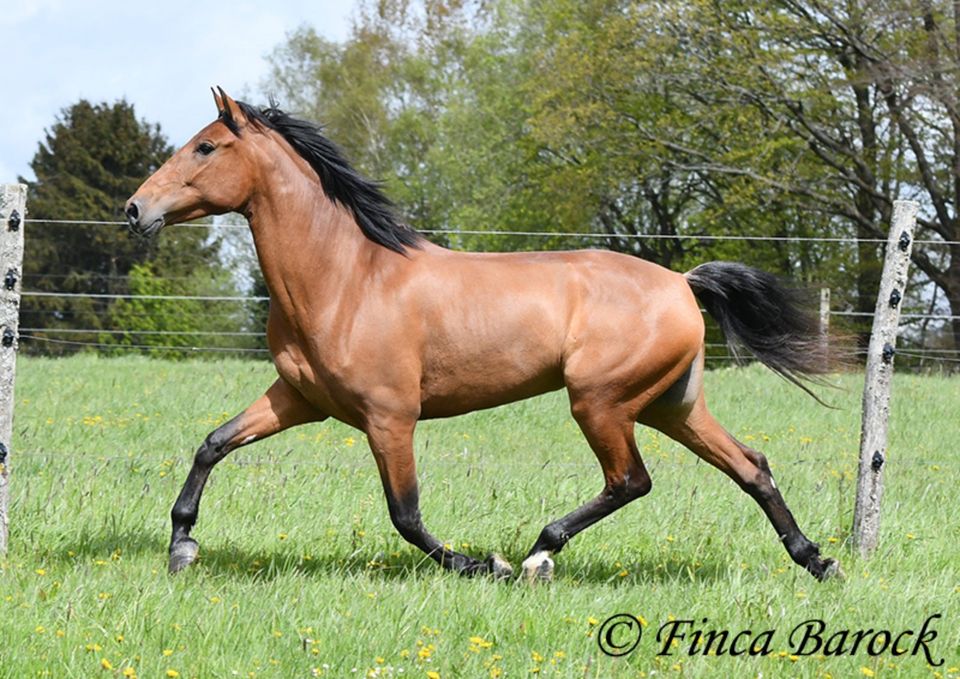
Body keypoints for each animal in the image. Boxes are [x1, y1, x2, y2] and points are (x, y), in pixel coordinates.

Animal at [125, 87, 840, 580]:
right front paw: (183, 546)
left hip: (600, 402)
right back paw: (816, 560)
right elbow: (213, 445)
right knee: (750, 465)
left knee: (631, 481)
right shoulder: (299, 399)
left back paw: (537, 555)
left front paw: (480, 564)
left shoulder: (390, 417)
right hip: (671, 405)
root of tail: (681, 283)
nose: (135, 209)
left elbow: (406, 515)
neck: (346, 279)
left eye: (205, 147)